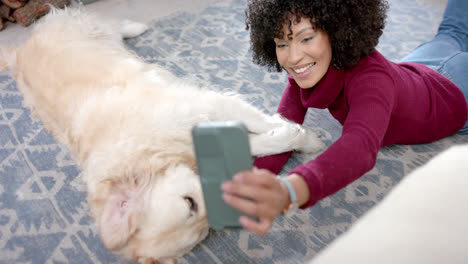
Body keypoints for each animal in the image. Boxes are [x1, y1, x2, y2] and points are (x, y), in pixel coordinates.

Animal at [0, 8, 322, 264]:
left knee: (109, 24)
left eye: (189, 202)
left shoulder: (203, 105)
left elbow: (261, 123)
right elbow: (259, 144)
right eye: (204, 226)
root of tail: (18, 51)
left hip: (90, 28)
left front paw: (303, 137)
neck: (146, 150)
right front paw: (292, 135)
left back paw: (134, 27)